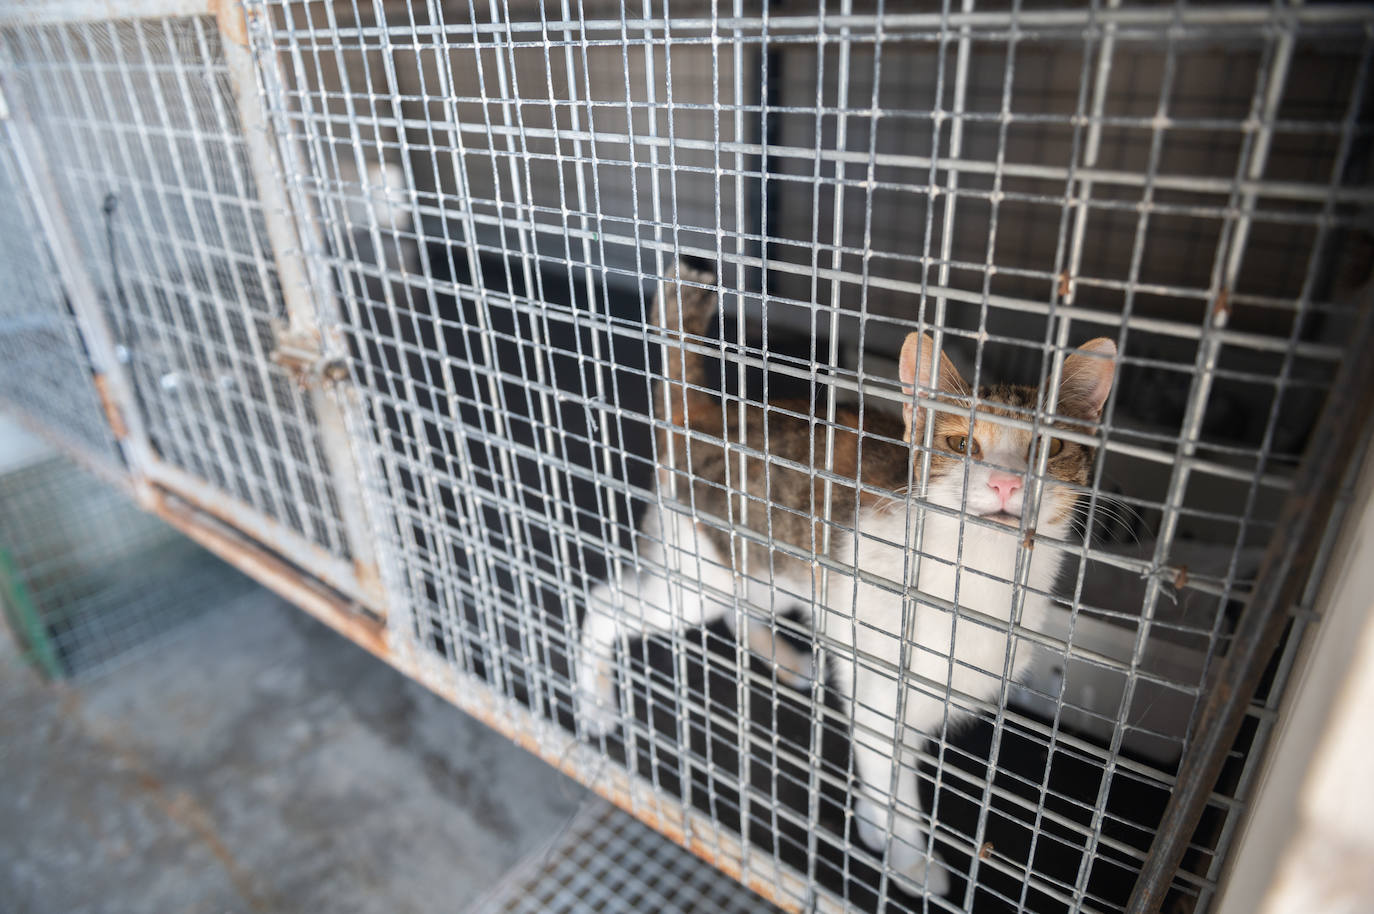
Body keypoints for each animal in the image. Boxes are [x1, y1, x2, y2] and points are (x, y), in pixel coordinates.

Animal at [571, 258, 1115, 890]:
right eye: (961, 444)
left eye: (1048, 451)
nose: (1005, 483)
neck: (980, 582)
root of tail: (707, 414)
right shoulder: (879, 693)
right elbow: (892, 783)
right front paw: (908, 857)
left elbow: (889, 773)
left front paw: (878, 829)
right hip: (698, 577)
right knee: (605, 603)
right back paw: (594, 705)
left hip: (772, 574)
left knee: (739, 612)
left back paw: (786, 661)